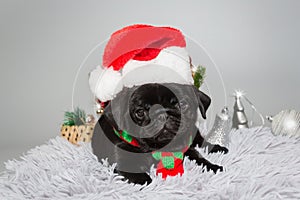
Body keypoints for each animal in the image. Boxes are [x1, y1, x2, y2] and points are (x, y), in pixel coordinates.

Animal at [92, 82, 227, 184]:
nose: (162, 114)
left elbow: (199, 158)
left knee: (201, 141)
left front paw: (213, 167)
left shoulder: (186, 148)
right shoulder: (125, 164)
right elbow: (144, 180)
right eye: (140, 112)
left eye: (183, 104)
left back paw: (218, 148)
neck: (155, 148)